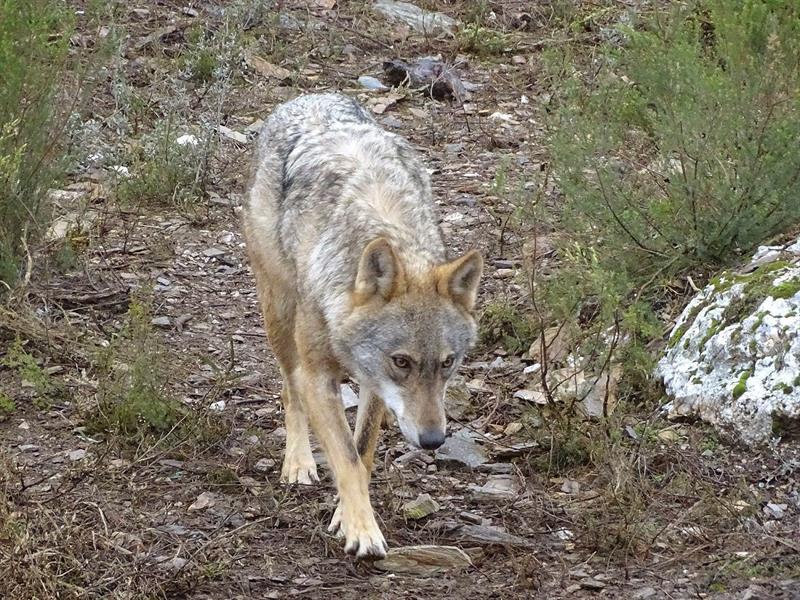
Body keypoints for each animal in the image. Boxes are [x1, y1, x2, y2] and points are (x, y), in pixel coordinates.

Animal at [243, 93, 483, 558]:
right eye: (402, 362)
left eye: (448, 363)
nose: (433, 441)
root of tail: (310, 96)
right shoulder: (319, 376)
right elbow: (346, 460)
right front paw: (363, 531)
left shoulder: (373, 383)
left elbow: (362, 452)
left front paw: (345, 516)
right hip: (278, 314)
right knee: (289, 389)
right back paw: (298, 462)